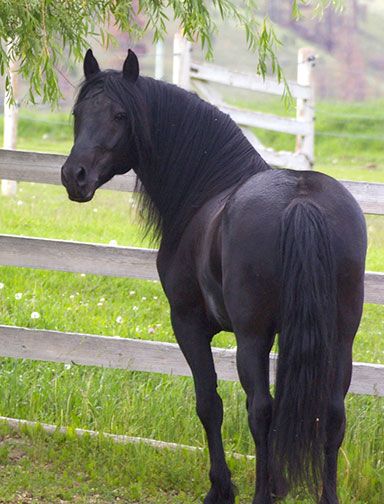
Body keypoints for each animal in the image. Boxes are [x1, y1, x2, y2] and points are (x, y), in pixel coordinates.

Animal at [61, 48, 368, 504]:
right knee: (332, 413)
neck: (207, 191)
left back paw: (259, 495)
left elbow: (209, 403)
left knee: (260, 410)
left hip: (252, 338)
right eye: (79, 113)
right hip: (340, 336)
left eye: (119, 115)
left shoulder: (188, 323)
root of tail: (301, 202)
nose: (73, 176)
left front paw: (221, 487)